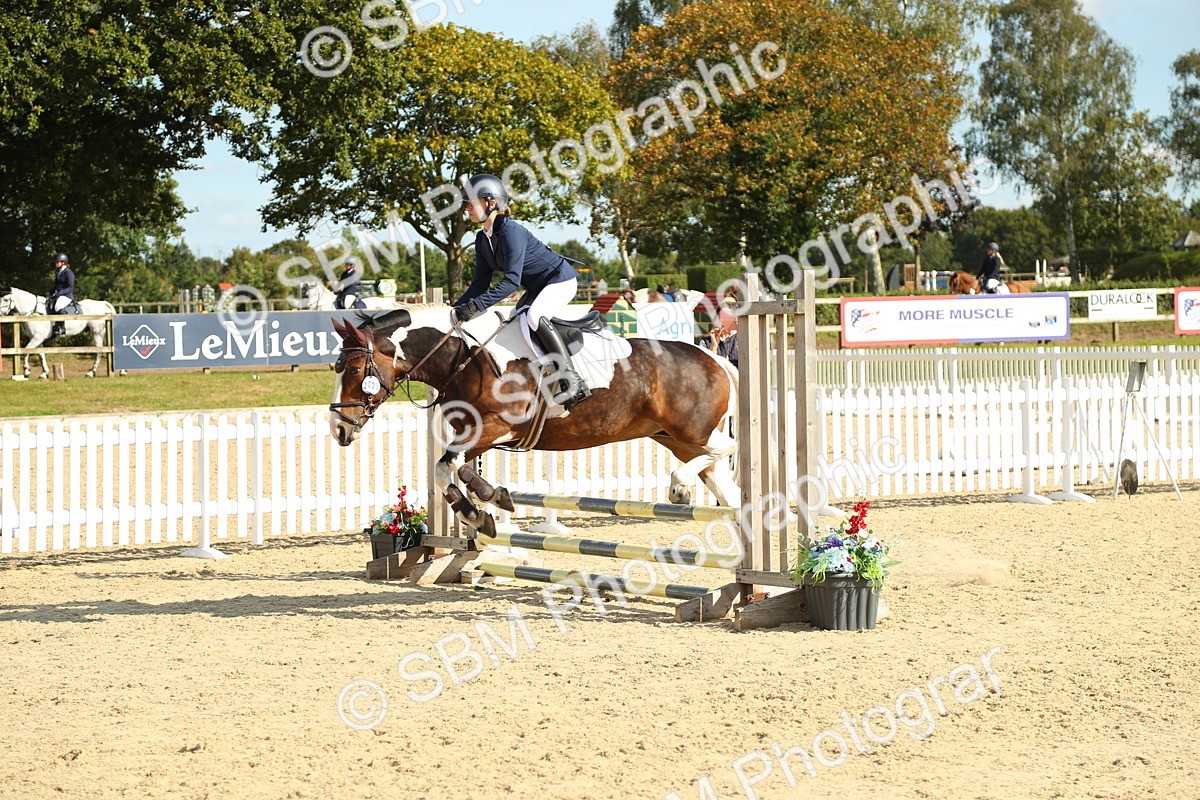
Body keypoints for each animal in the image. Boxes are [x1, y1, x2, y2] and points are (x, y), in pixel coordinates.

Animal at [327, 305, 740, 518]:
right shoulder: (474, 435)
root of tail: (714, 359)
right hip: (674, 437)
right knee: (729, 492)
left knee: (725, 449)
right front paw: (486, 504)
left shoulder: (497, 427)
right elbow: (452, 468)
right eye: (336, 367)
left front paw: (483, 506)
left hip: (692, 431)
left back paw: (679, 487)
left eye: (354, 370)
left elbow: (447, 466)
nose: (339, 430)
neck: (463, 357)